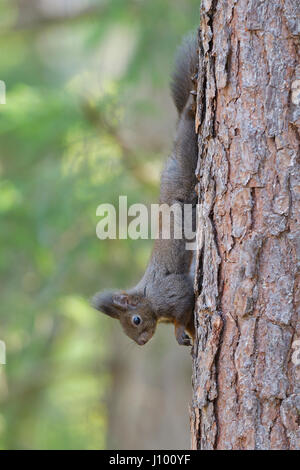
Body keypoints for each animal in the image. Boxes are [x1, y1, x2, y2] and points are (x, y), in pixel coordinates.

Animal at [91, 34, 199, 346]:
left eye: (135, 320)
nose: (140, 342)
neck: (149, 298)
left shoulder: (174, 291)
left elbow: (184, 305)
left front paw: (178, 332)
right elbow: (189, 320)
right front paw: (188, 334)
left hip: (186, 156)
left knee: (187, 123)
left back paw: (191, 105)